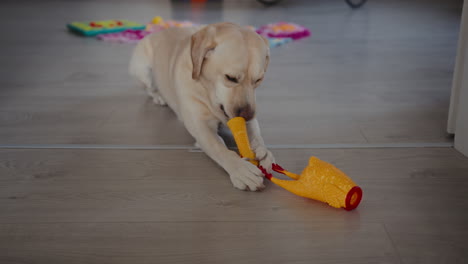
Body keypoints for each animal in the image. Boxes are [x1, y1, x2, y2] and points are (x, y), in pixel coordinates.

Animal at [129, 22, 274, 191]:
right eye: (230, 78)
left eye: (258, 80)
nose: (247, 115)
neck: (208, 91)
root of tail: (156, 32)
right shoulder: (201, 127)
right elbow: (219, 149)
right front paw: (241, 169)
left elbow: (257, 136)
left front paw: (264, 152)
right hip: (143, 71)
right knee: (149, 89)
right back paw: (159, 96)